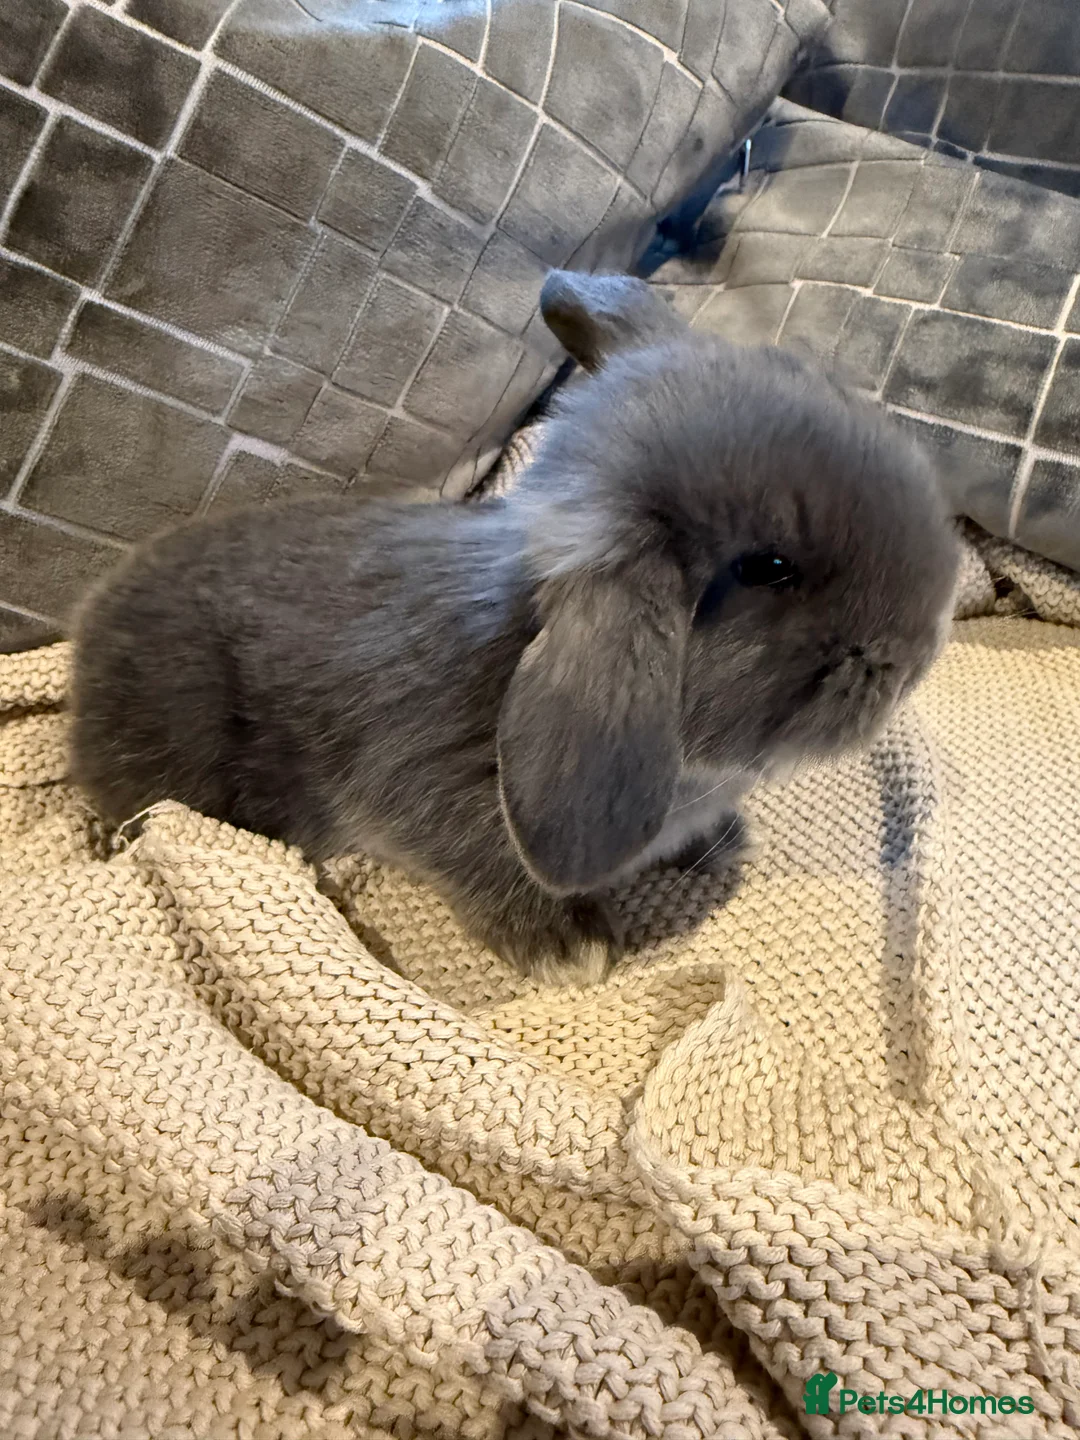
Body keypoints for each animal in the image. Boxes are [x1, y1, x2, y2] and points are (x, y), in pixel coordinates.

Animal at [69, 269, 959, 981]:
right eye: (767, 568)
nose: (914, 652)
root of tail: (92, 622)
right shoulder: (424, 788)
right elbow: (487, 866)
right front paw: (570, 948)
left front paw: (721, 842)